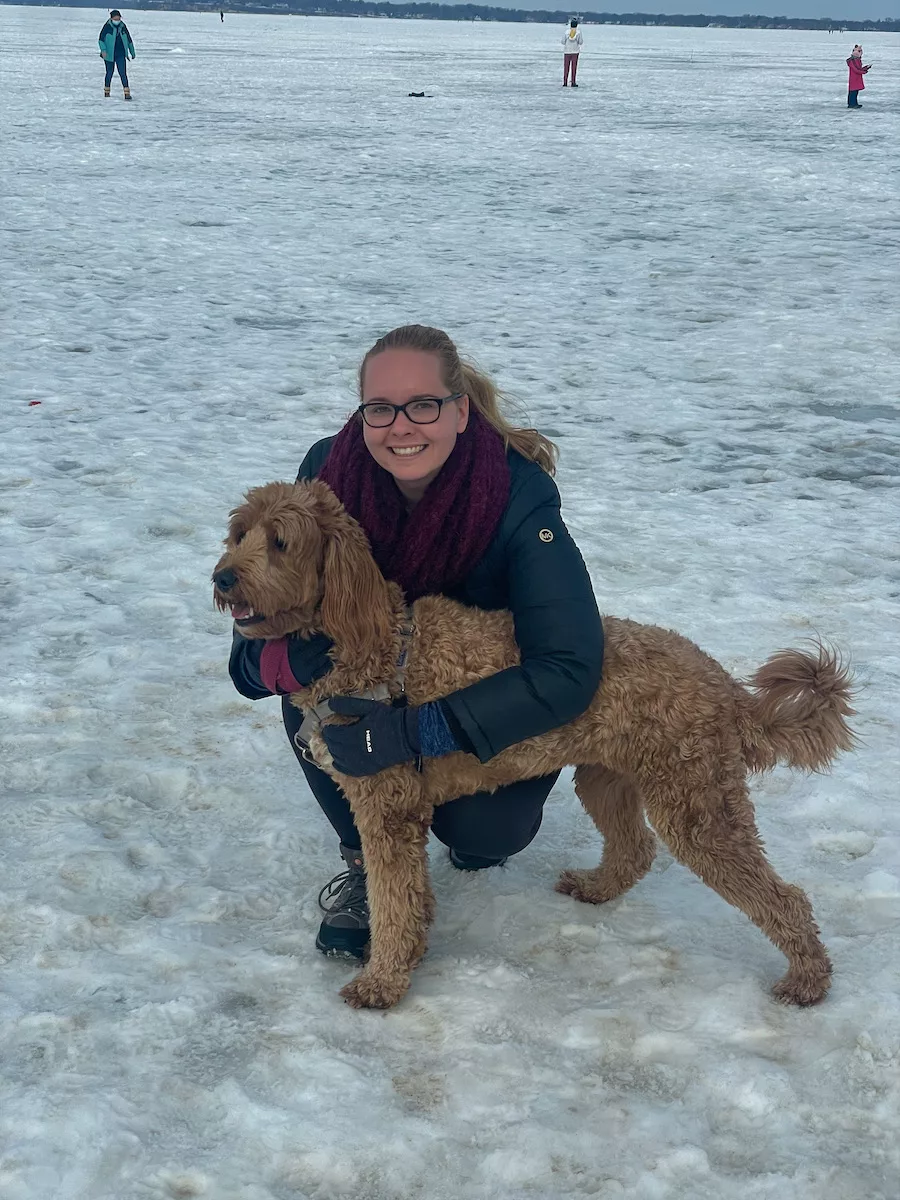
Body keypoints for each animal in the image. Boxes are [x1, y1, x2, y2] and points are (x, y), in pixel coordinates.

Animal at [214, 477, 854, 1012]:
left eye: (282, 542)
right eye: (241, 532)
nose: (222, 577)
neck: (364, 642)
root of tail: (729, 691)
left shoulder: (386, 803)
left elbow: (393, 900)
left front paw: (382, 983)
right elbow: (406, 895)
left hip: (697, 803)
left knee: (784, 896)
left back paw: (807, 979)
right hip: (608, 778)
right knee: (635, 848)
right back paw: (596, 888)